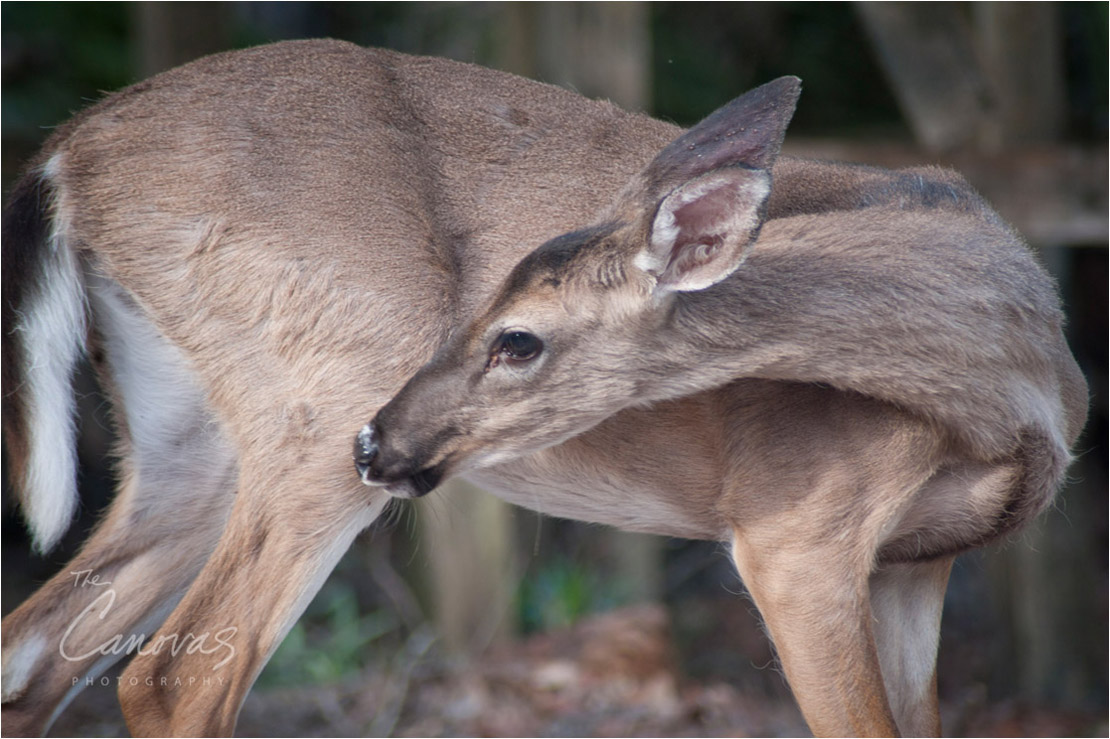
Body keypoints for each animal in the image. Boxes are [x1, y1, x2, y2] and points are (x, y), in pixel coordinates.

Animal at [0, 40, 1087, 736]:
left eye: (516, 338)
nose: (381, 441)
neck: (1011, 393)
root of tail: (68, 150)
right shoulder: (795, 525)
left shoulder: (917, 565)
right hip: (318, 396)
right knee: (174, 676)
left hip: (190, 440)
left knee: (34, 657)